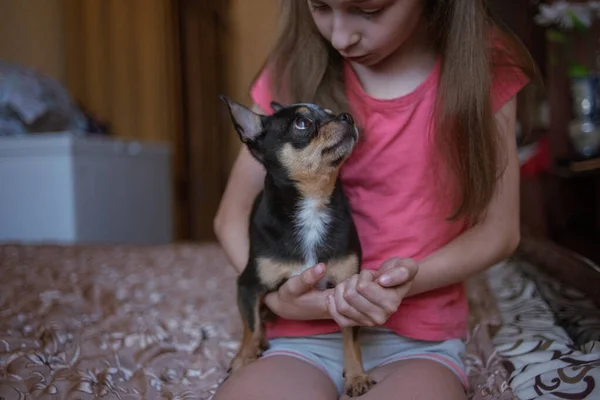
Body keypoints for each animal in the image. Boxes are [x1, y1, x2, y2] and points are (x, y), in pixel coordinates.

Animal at [220, 96, 378, 396]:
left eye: (330, 112)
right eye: (302, 123)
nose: (346, 116)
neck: (313, 204)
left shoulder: (348, 291)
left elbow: (351, 340)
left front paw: (356, 376)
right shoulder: (248, 285)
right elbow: (250, 326)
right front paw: (244, 359)